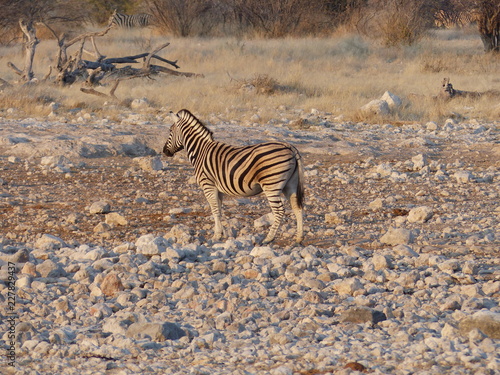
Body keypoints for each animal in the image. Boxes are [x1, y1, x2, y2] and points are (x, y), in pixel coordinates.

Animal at [164, 110, 304, 245]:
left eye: (170, 131)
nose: (164, 152)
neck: (201, 151)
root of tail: (289, 147)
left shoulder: (208, 185)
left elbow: (214, 210)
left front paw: (216, 236)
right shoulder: (218, 188)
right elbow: (219, 210)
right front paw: (221, 234)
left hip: (271, 185)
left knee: (279, 211)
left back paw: (268, 239)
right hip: (290, 184)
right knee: (297, 208)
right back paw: (298, 239)